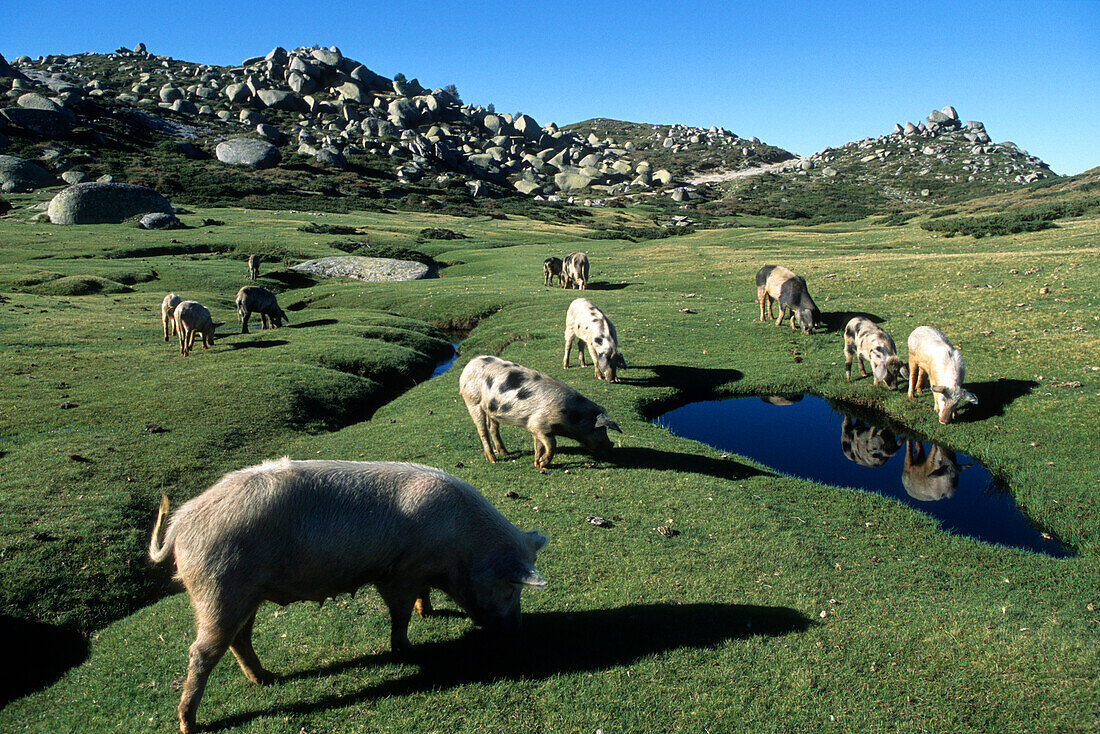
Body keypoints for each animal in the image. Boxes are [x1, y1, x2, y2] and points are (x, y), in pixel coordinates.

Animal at [150, 459, 550, 734]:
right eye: (512, 587)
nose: (517, 630)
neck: (460, 550)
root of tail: (181, 524)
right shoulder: (399, 572)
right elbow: (399, 614)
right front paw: (408, 650)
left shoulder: (418, 570)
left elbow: (419, 600)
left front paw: (429, 612)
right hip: (219, 588)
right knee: (202, 651)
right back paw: (189, 724)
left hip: (247, 594)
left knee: (239, 639)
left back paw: (267, 679)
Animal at [459, 356, 624, 470]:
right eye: (601, 429)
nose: (611, 446)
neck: (571, 417)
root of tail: (468, 366)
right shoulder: (539, 424)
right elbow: (552, 444)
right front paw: (543, 464)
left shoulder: (535, 426)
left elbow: (539, 445)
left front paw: (537, 463)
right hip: (472, 401)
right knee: (482, 430)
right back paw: (493, 459)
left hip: (492, 409)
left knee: (493, 428)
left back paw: (504, 453)